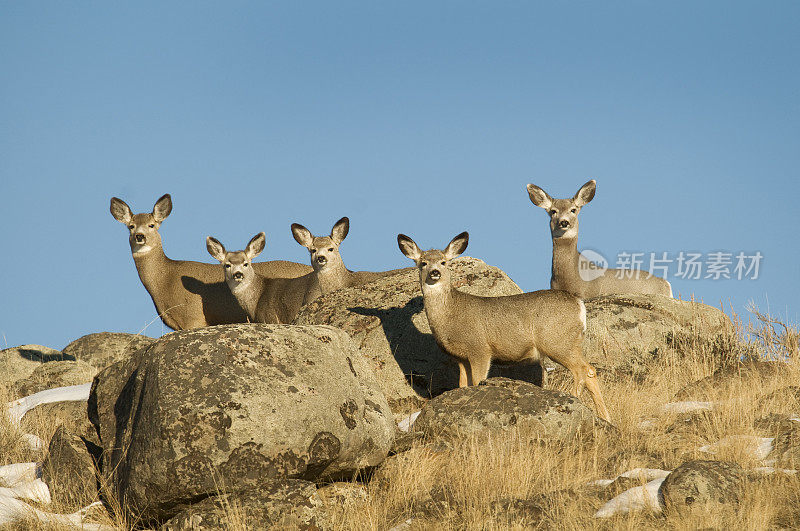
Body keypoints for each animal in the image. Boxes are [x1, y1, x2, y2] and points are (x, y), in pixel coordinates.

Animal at [396, 233, 612, 424]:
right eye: (423, 263)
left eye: (443, 262)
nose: (435, 272)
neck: (450, 314)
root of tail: (579, 305)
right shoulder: (460, 358)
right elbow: (462, 385)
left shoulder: (480, 349)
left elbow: (477, 381)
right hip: (572, 342)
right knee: (590, 370)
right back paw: (605, 417)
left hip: (557, 341)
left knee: (581, 370)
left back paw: (572, 398)